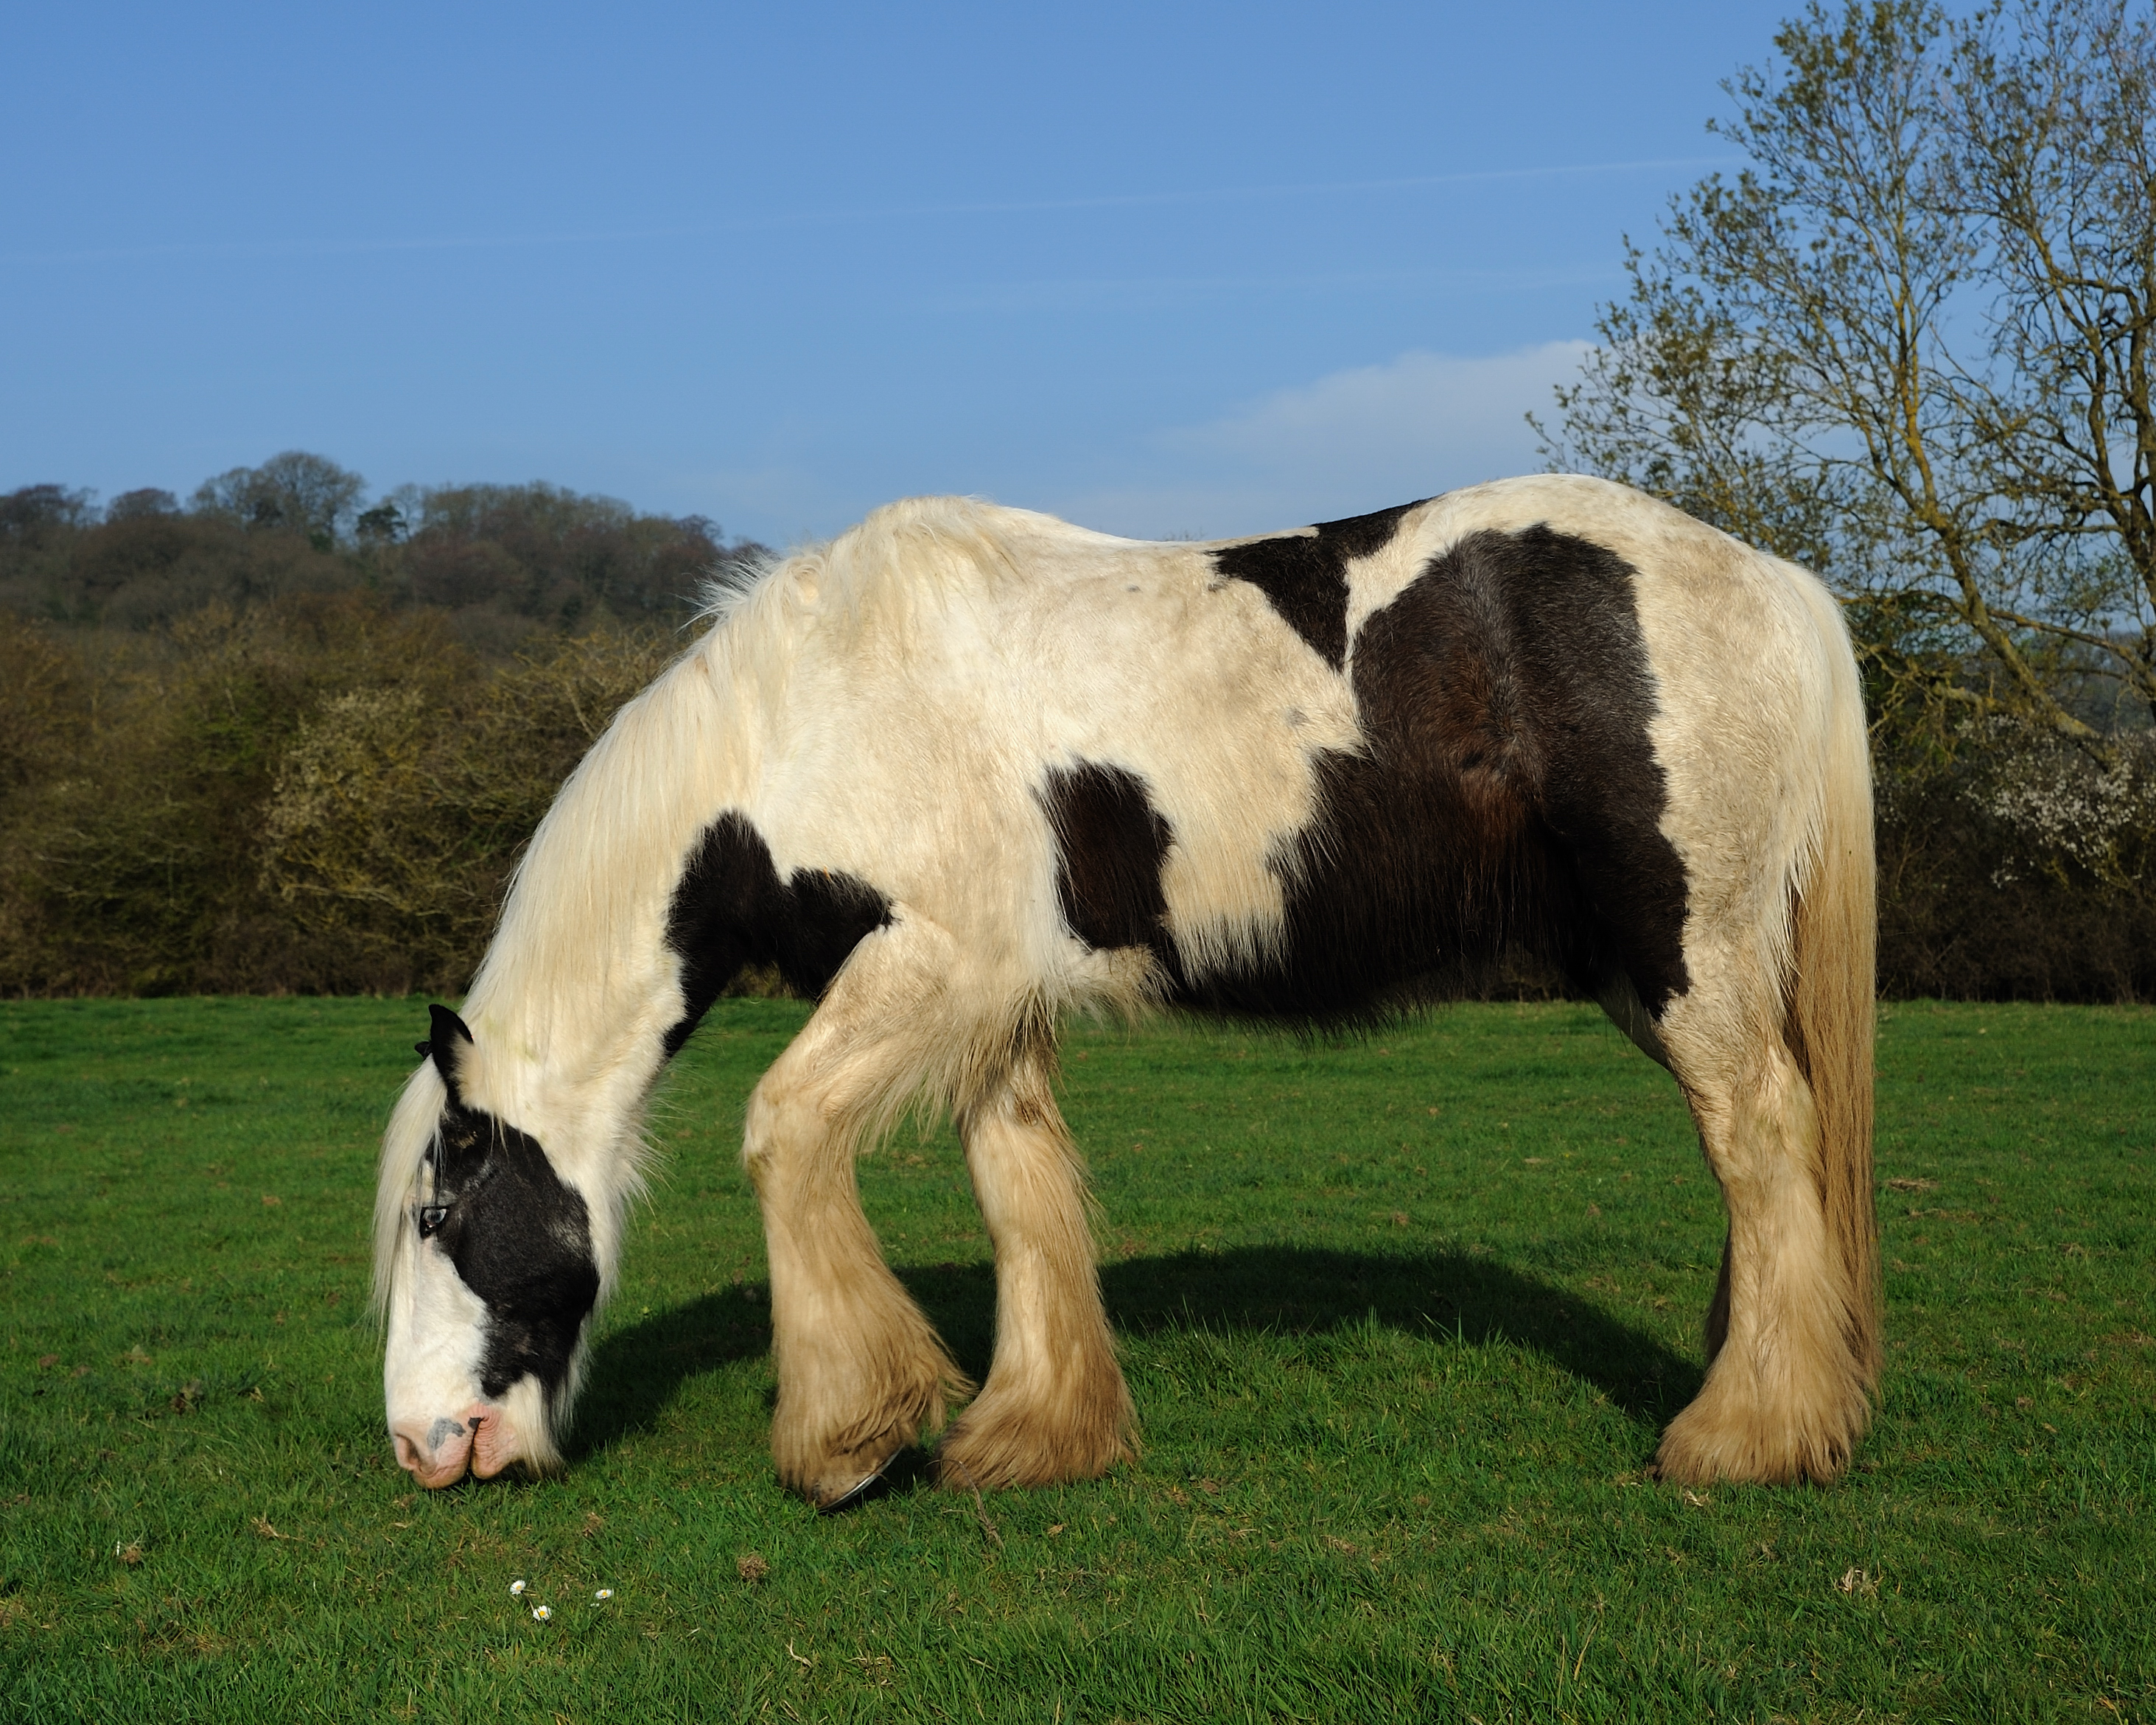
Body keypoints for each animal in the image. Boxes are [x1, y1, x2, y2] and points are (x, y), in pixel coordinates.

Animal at [373, 473, 1880, 1503]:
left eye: (439, 1214)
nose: (423, 1444)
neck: (814, 714)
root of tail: (1773, 579)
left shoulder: (931, 968)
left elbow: (784, 1131)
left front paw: (847, 1434)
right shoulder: (992, 1003)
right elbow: (1020, 1189)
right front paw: (1036, 1433)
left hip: (1685, 953)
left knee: (1759, 1134)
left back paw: (1745, 1433)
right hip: (1648, 970)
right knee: (1766, 1153)